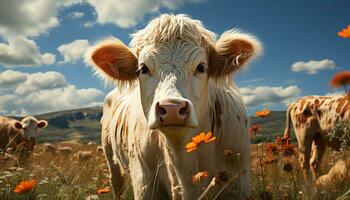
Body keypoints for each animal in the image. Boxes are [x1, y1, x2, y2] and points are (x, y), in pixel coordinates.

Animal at [86, 14, 262, 200]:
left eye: (201, 67)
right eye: (143, 68)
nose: (171, 109)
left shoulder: (239, 180)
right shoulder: (144, 181)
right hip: (109, 156)